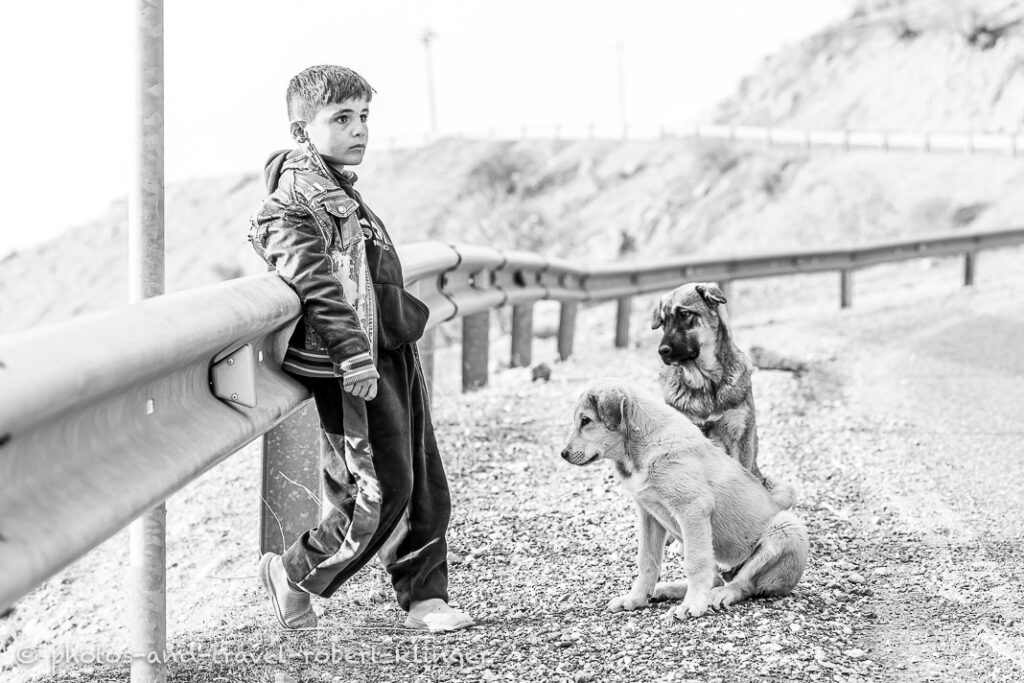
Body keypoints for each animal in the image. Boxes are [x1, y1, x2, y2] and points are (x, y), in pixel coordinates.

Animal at [561, 378, 806, 618]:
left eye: (586, 420)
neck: (641, 449)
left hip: (787, 527)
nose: (563, 454)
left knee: (743, 583)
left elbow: (695, 563)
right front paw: (636, 598)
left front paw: (693, 605)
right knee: (716, 578)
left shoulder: (693, 510)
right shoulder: (649, 514)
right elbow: (647, 560)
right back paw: (666, 590)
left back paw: (720, 594)